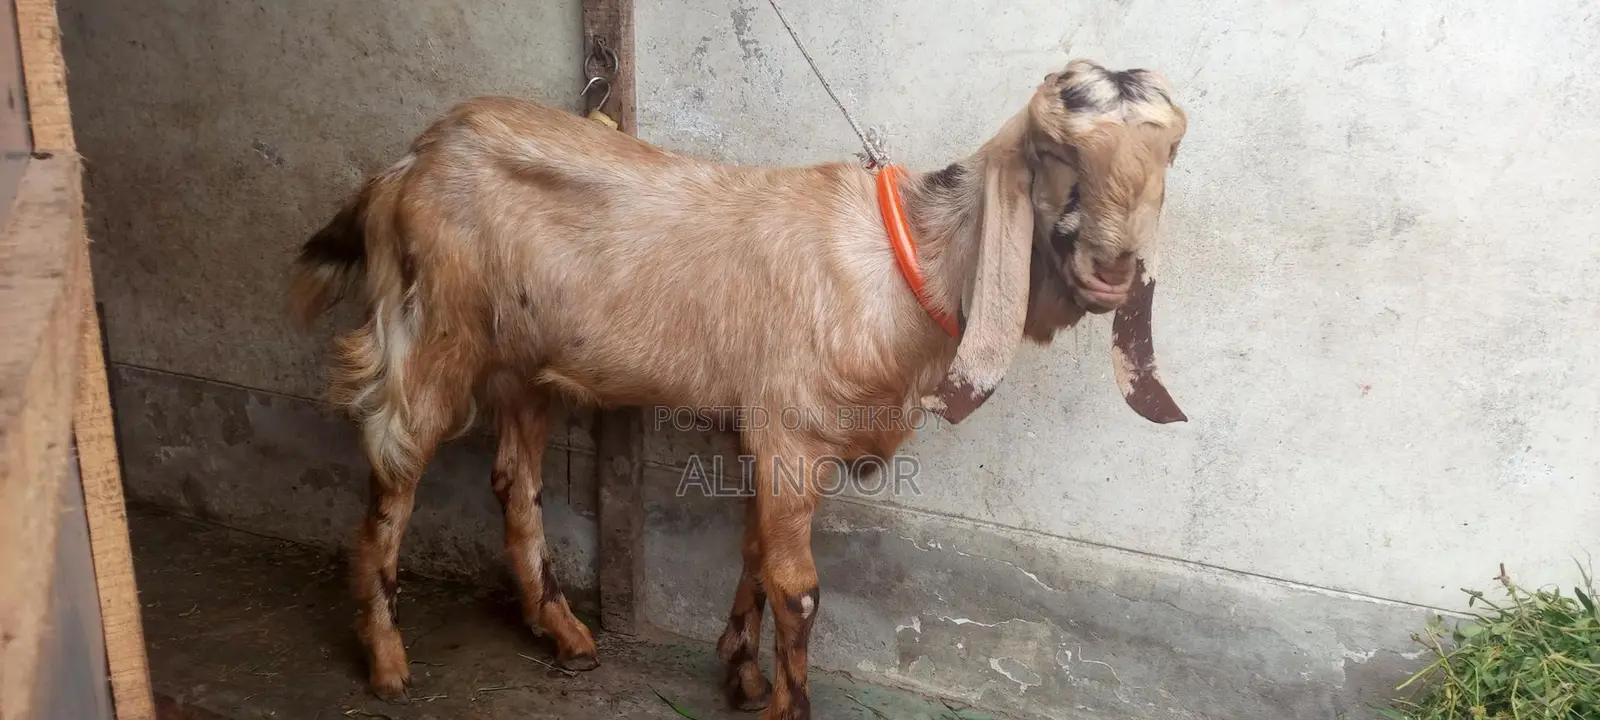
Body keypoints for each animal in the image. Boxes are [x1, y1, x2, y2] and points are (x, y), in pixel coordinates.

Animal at [287, 58, 1188, 720]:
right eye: (1057, 153)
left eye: (1168, 156)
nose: (1112, 271)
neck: (908, 265)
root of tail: (406, 164)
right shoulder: (791, 427)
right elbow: (799, 589)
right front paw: (785, 704)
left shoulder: (773, 434)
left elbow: (755, 554)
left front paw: (741, 674)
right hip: (433, 328)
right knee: (394, 471)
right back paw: (387, 661)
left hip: (525, 357)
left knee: (516, 481)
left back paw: (565, 634)